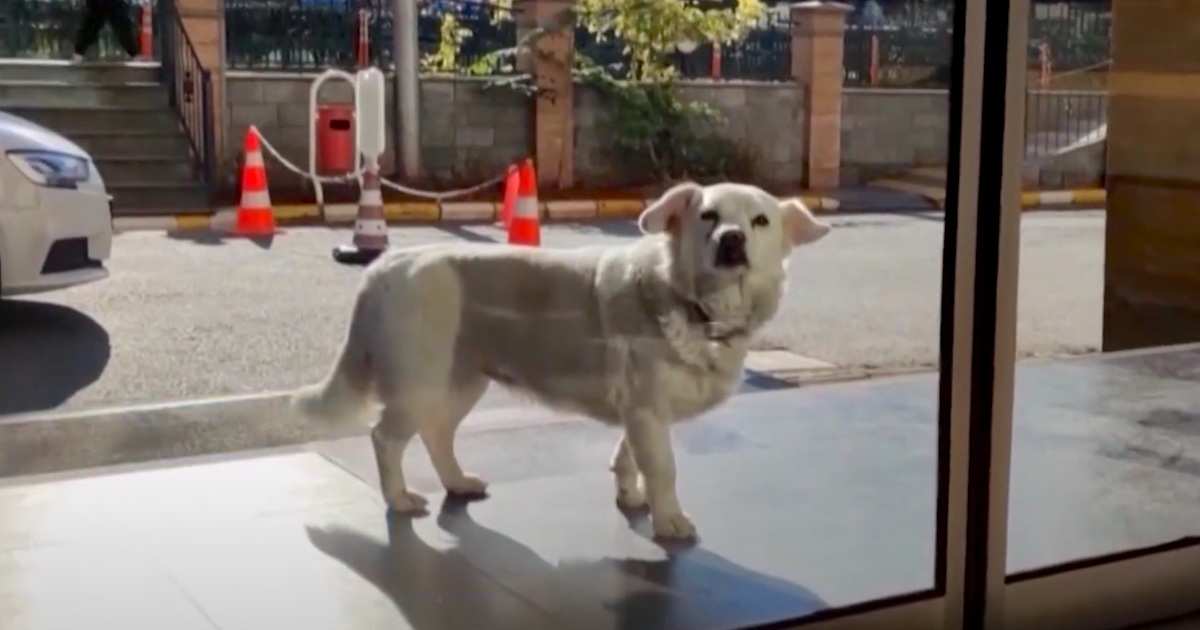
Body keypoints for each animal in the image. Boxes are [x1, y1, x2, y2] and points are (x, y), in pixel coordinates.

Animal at [295, 178, 830, 537]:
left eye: (759, 221)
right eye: (709, 217)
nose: (732, 240)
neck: (695, 303)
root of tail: (385, 265)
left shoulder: (640, 412)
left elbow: (629, 456)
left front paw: (630, 495)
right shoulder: (647, 410)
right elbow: (662, 468)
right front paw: (669, 519)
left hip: (462, 381)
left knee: (436, 433)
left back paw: (457, 482)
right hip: (417, 382)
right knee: (385, 438)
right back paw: (399, 498)